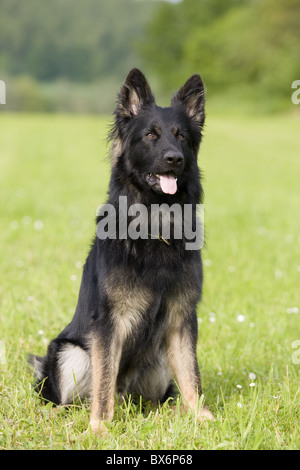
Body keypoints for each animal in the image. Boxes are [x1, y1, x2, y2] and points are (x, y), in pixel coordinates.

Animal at [29, 69, 214, 434]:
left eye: (182, 137)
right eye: (151, 135)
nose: (175, 159)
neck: (156, 225)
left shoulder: (181, 318)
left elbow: (192, 375)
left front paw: (202, 417)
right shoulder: (108, 324)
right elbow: (103, 383)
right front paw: (100, 427)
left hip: (157, 360)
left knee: (155, 401)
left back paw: (172, 412)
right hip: (70, 353)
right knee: (69, 400)